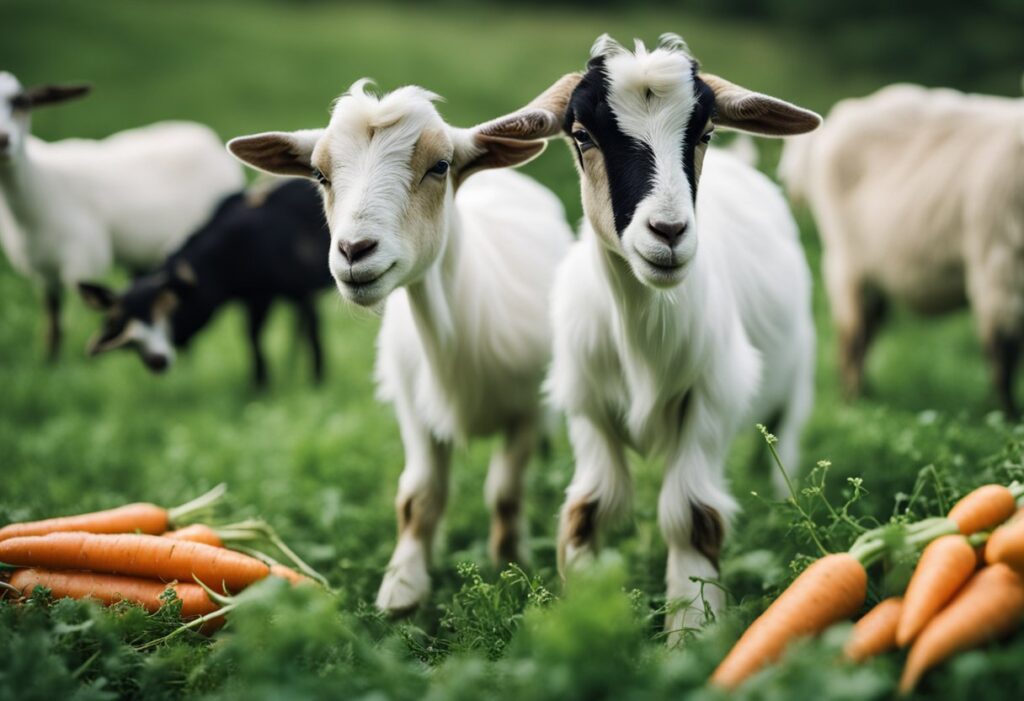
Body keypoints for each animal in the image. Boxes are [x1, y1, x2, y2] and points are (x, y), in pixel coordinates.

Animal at [0, 71, 243, 360]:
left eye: (22, 102)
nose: (3, 140)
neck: (41, 182)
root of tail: (204, 135)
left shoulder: (84, 262)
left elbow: (79, 323)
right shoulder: (42, 274)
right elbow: (53, 328)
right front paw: (51, 364)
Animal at [78, 179, 332, 386]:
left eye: (168, 308)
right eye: (121, 326)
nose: (156, 361)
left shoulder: (299, 290)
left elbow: (311, 333)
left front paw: (317, 381)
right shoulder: (257, 297)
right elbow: (253, 338)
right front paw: (260, 384)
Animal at [227, 79, 574, 612]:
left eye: (441, 165)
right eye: (319, 174)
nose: (354, 251)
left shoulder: (527, 412)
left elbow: (505, 492)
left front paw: (509, 565)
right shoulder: (414, 409)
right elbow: (419, 496)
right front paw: (403, 587)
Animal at [472, 34, 820, 637]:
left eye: (704, 132)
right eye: (582, 135)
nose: (669, 232)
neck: (644, 334)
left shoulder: (711, 400)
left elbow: (692, 515)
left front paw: (692, 632)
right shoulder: (586, 405)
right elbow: (588, 509)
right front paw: (586, 621)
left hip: (798, 378)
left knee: (785, 442)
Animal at [778, 83, 1024, 415]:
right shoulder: (999, 264)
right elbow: (1004, 352)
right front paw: (1008, 416)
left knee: (868, 327)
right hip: (849, 259)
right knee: (853, 334)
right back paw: (853, 402)